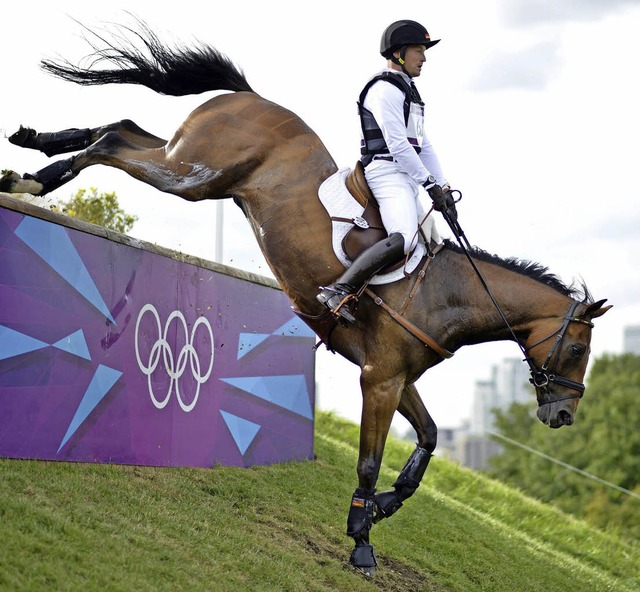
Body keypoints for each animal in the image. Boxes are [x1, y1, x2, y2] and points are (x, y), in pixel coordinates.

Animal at [0, 24, 608, 580]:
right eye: (579, 350)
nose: (562, 415)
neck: (446, 293)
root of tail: (249, 94)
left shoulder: (394, 375)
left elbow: (430, 440)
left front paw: (383, 507)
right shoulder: (379, 380)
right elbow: (368, 463)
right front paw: (361, 539)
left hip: (192, 167)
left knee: (122, 128)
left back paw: (33, 152)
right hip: (191, 175)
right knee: (114, 143)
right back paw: (35, 181)